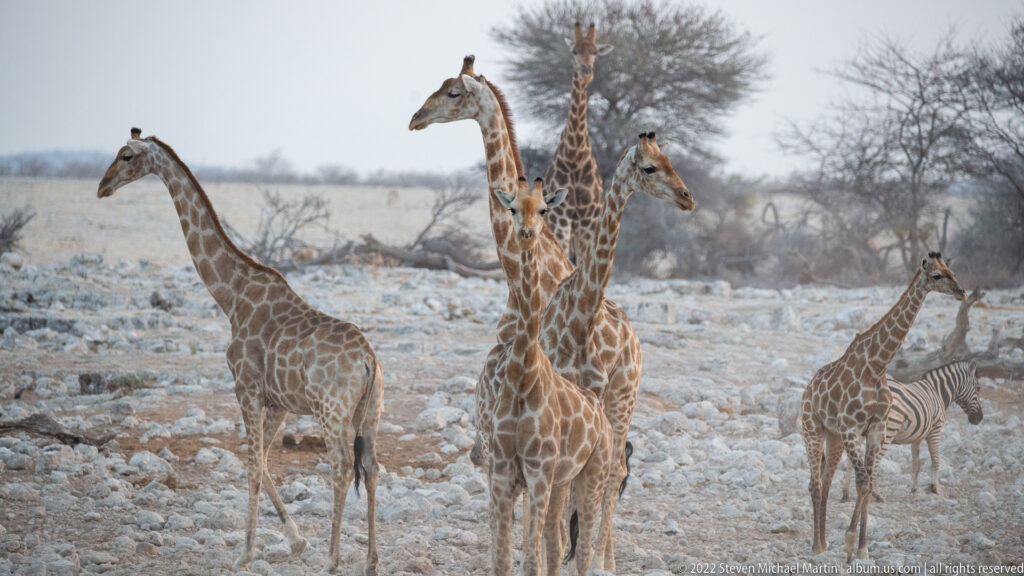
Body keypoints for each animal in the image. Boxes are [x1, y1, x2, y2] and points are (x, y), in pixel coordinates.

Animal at [97, 129, 382, 575]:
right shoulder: (278, 400)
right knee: (370, 468)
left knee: (339, 467)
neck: (230, 297)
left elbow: (251, 465)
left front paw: (245, 552)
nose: (102, 187)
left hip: (331, 411)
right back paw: (370, 561)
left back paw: (333, 560)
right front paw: (295, 540)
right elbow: (262, 460)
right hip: (370, 413)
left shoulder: (244, 386)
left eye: (126, 156)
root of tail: (369, 360)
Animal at [488, 177, 613, 576]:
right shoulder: (504, 473)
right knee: (559, 545)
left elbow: (530, 561)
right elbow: (503, 560)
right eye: (512, 207)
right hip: (563, 481)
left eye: (543, 209)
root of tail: (598, 410)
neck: (521, 377)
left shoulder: (538, 473)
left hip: (592, 475)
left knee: (583, 549)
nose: (526, 233)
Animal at [542, 22, 614, 265]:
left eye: (595, 51)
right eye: (574, 51)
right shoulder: (561, 219)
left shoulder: (587, 223)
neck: (575, 156)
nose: (586, 72)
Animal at [800, 252, 965, 562]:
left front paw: (862, 548)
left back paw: (825, 543)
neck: (877, 364)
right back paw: (815, 547)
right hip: (812, 430)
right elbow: (864, 481)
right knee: (814, 483)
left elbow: (868, 482)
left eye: (953, 271)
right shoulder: (852, 428)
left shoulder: (876, 428)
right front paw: (850, 544)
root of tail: (807, 391)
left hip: (833, 437)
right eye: (936, 276)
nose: (962, 292)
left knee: (825, 482)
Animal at [839, 359, 983, 501]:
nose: (980, 418)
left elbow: (916, 464)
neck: (938, 393)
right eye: (978, 388)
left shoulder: (917, 437)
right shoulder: (936, 429)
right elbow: (936, 460)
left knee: (852, 460)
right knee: (874, 461)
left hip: (859, 429)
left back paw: (847, 494)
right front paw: (935, 488)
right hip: (887, 430)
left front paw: (915, 489)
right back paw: (876, 494)